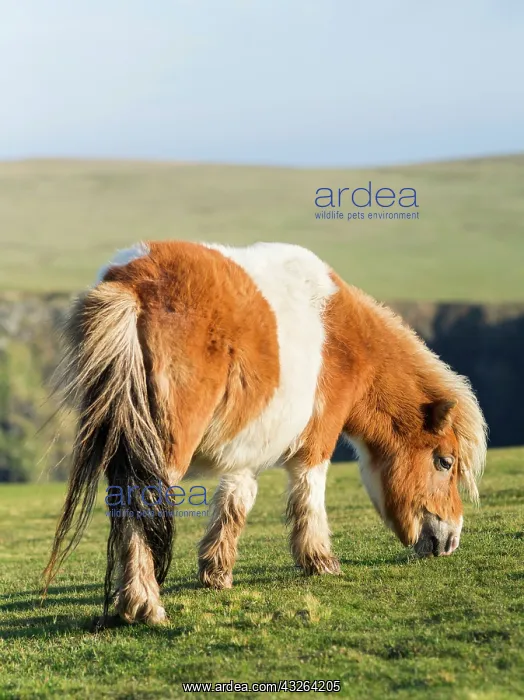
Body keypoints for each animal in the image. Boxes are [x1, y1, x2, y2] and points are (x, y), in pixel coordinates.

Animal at [44, 240, 487, 626]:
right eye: (444, 462)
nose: (450, 540)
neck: (341, 335)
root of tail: (132, 284)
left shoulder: (245, 450)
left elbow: (234, 503)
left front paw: (216, 572)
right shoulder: (317, 442)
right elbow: (308, 496)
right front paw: (320, 562)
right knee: (141, 507)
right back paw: (144, 604)